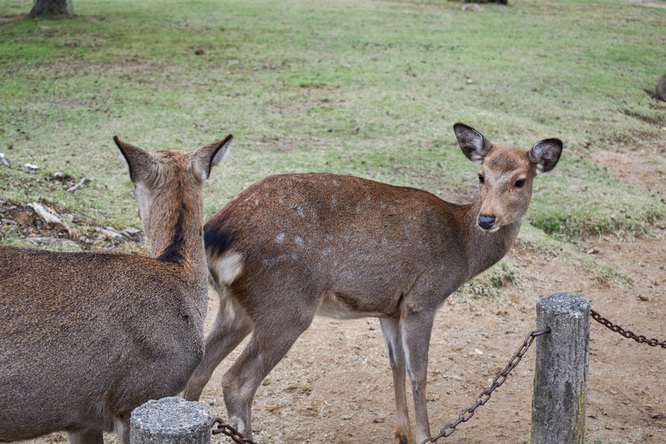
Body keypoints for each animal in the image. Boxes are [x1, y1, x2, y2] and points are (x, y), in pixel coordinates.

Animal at [183, 122, 560, 444]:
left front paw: (403, 433)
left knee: (198, 371)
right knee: (236, 382)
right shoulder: (423, 298)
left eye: (520, 180)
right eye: (481, 175)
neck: (464, 251)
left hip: (238, 307)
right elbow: (419, 372)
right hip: (286, 304)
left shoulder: (389, 308)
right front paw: (425, 435)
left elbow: (395, 365)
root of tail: (216, 232)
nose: (487, 218)